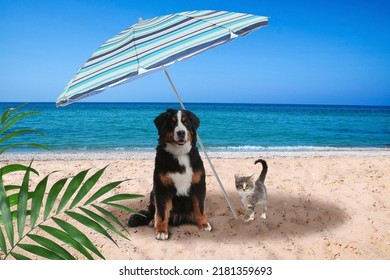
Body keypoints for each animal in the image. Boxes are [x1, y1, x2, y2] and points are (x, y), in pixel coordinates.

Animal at [128, 108, 212, 240]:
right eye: (172, 123)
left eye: (186, 122)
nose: (181, 132)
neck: (179, 154)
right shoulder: (162, 188)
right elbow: (162, 212)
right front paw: (162, 231)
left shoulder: (198, 185)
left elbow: (200, 208)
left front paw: (203, 224)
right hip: (153, 193)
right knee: (154, 212)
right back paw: (153, 221)